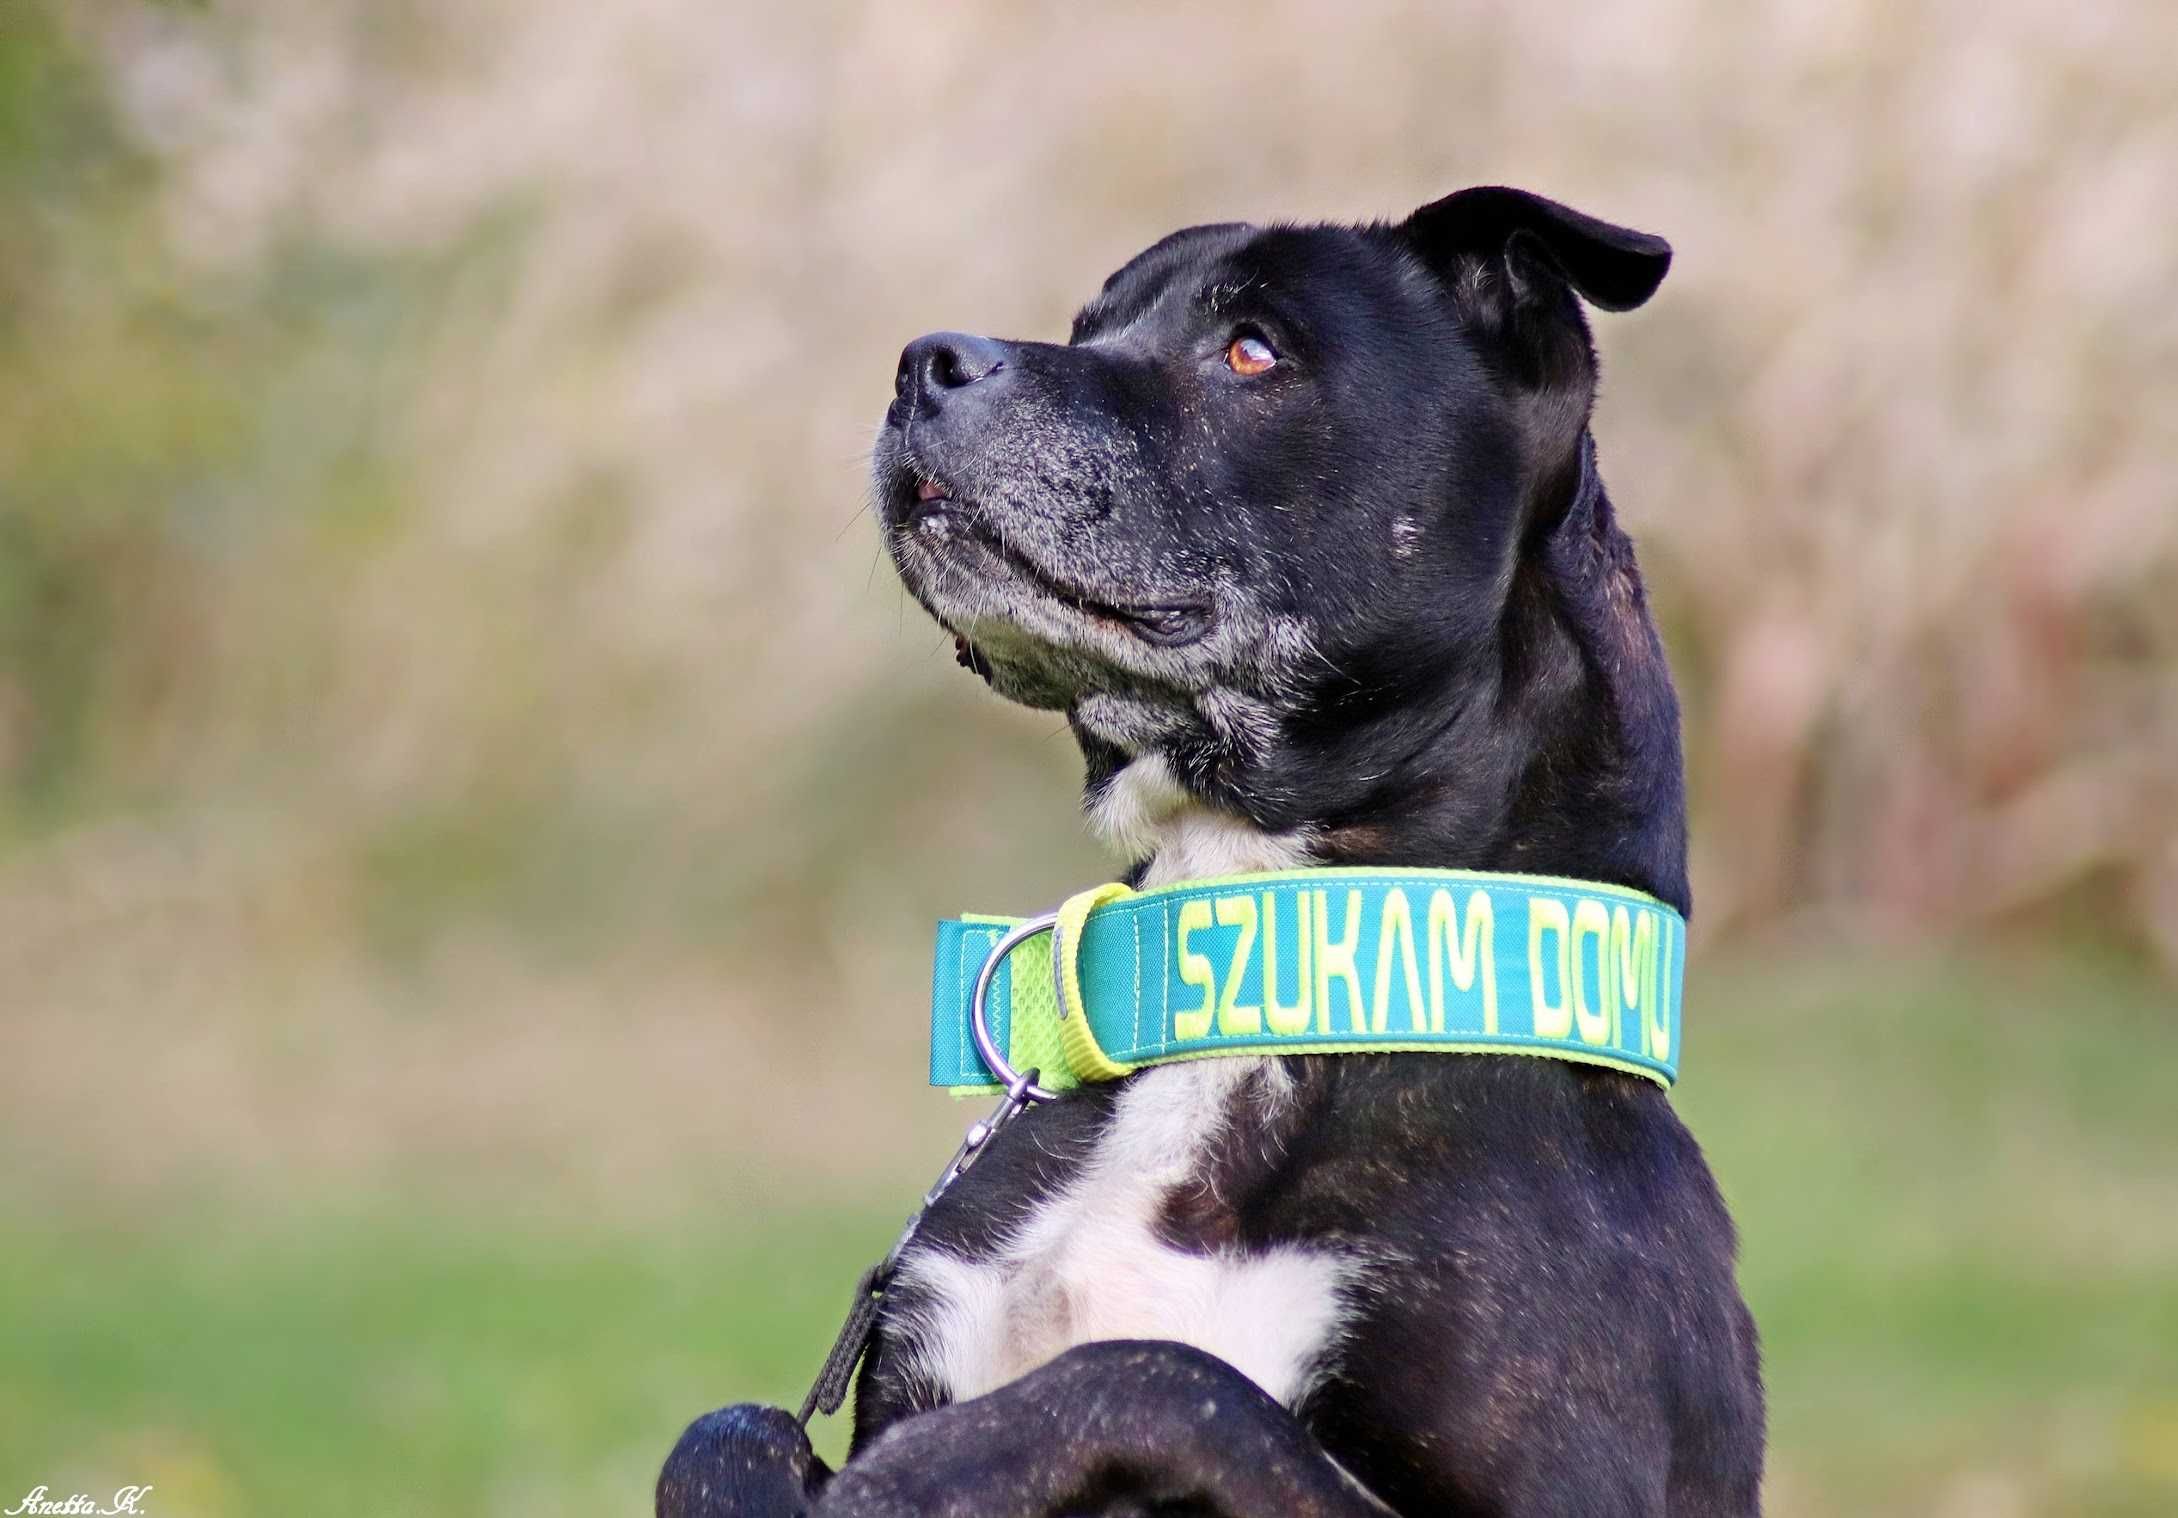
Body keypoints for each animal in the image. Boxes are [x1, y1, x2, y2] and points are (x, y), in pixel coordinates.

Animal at [662, 186, 1768, 1515]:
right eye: (1087, 329)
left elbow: (1165, 1377)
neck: (1256, 937)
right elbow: (725, 1429)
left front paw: (929, 1473)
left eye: (1252, 351)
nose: (925, 362)